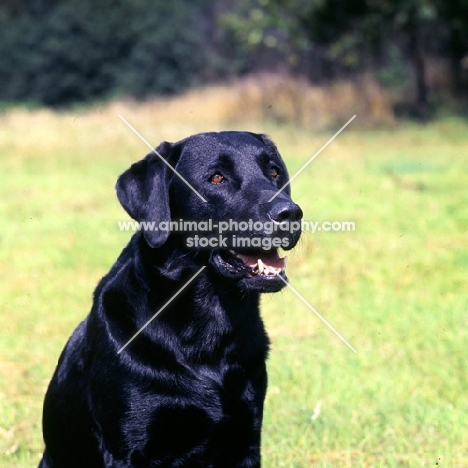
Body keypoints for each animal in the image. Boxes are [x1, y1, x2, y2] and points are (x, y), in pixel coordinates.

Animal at [40, 132, 304, 468]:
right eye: (216, 177)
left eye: (273, 172)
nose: (290, 214)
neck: (207, 328)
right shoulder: (128, 448)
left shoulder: (245, 439)